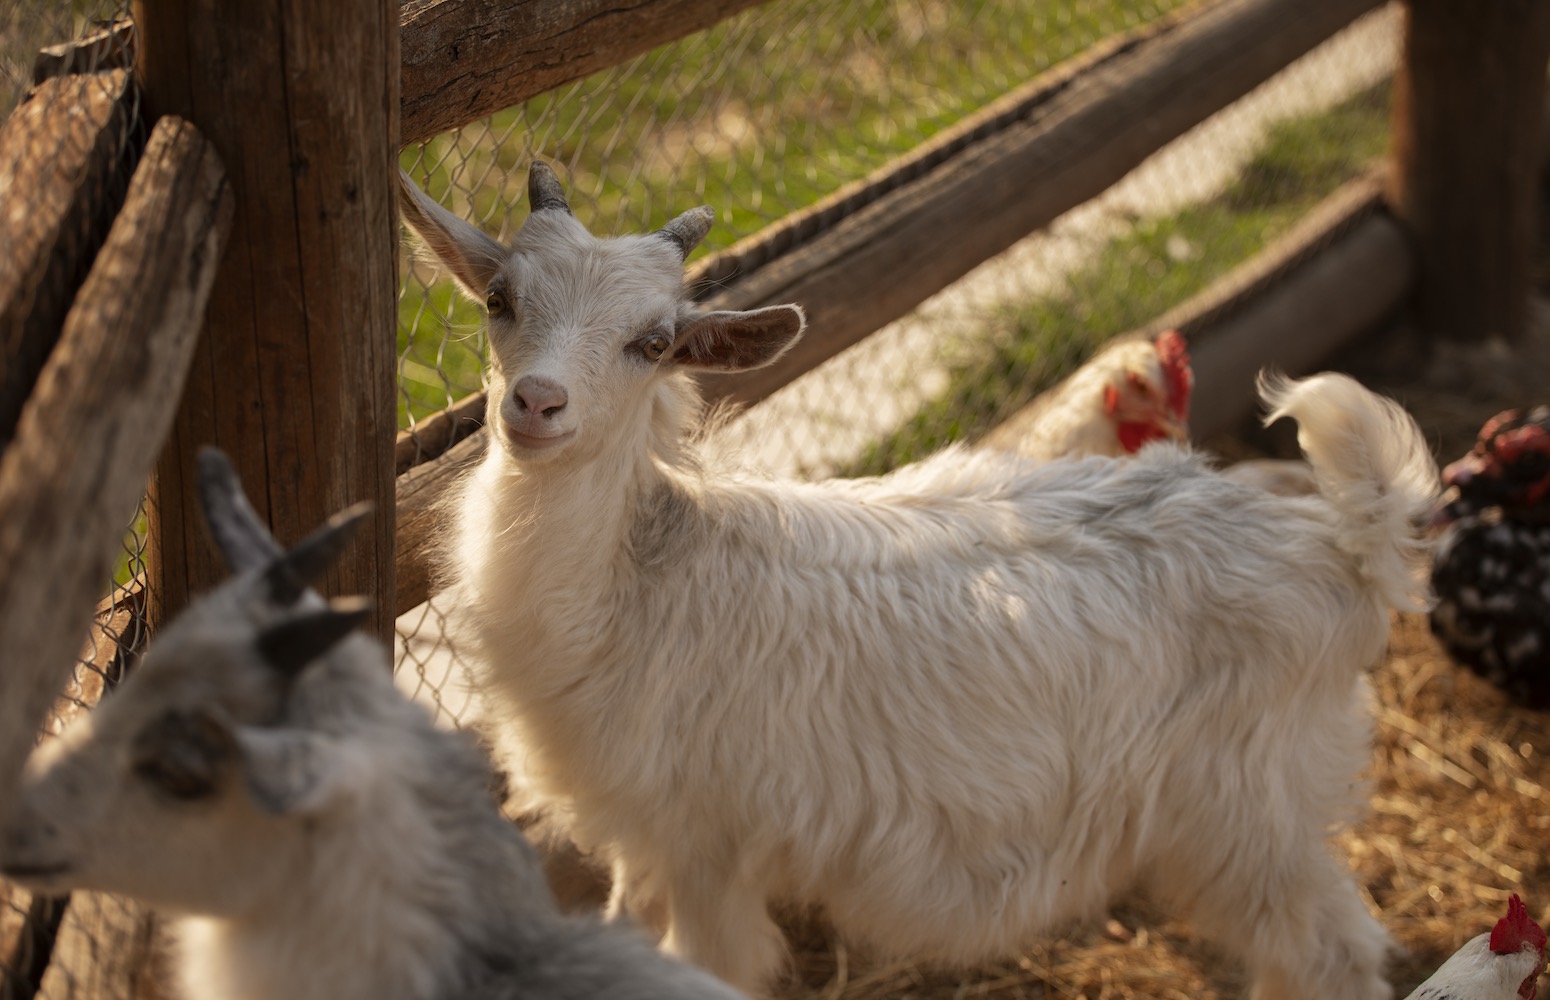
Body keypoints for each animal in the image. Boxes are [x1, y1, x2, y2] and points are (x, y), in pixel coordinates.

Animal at [403, 163, 1438, 998]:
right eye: (498, 298)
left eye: (653, 343)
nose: (536, 404)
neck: (640, 579)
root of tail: (1337, 544)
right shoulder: (643, 837)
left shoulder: (708, 844)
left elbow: (712, 967)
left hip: (1251, 806)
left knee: (1332, 952)